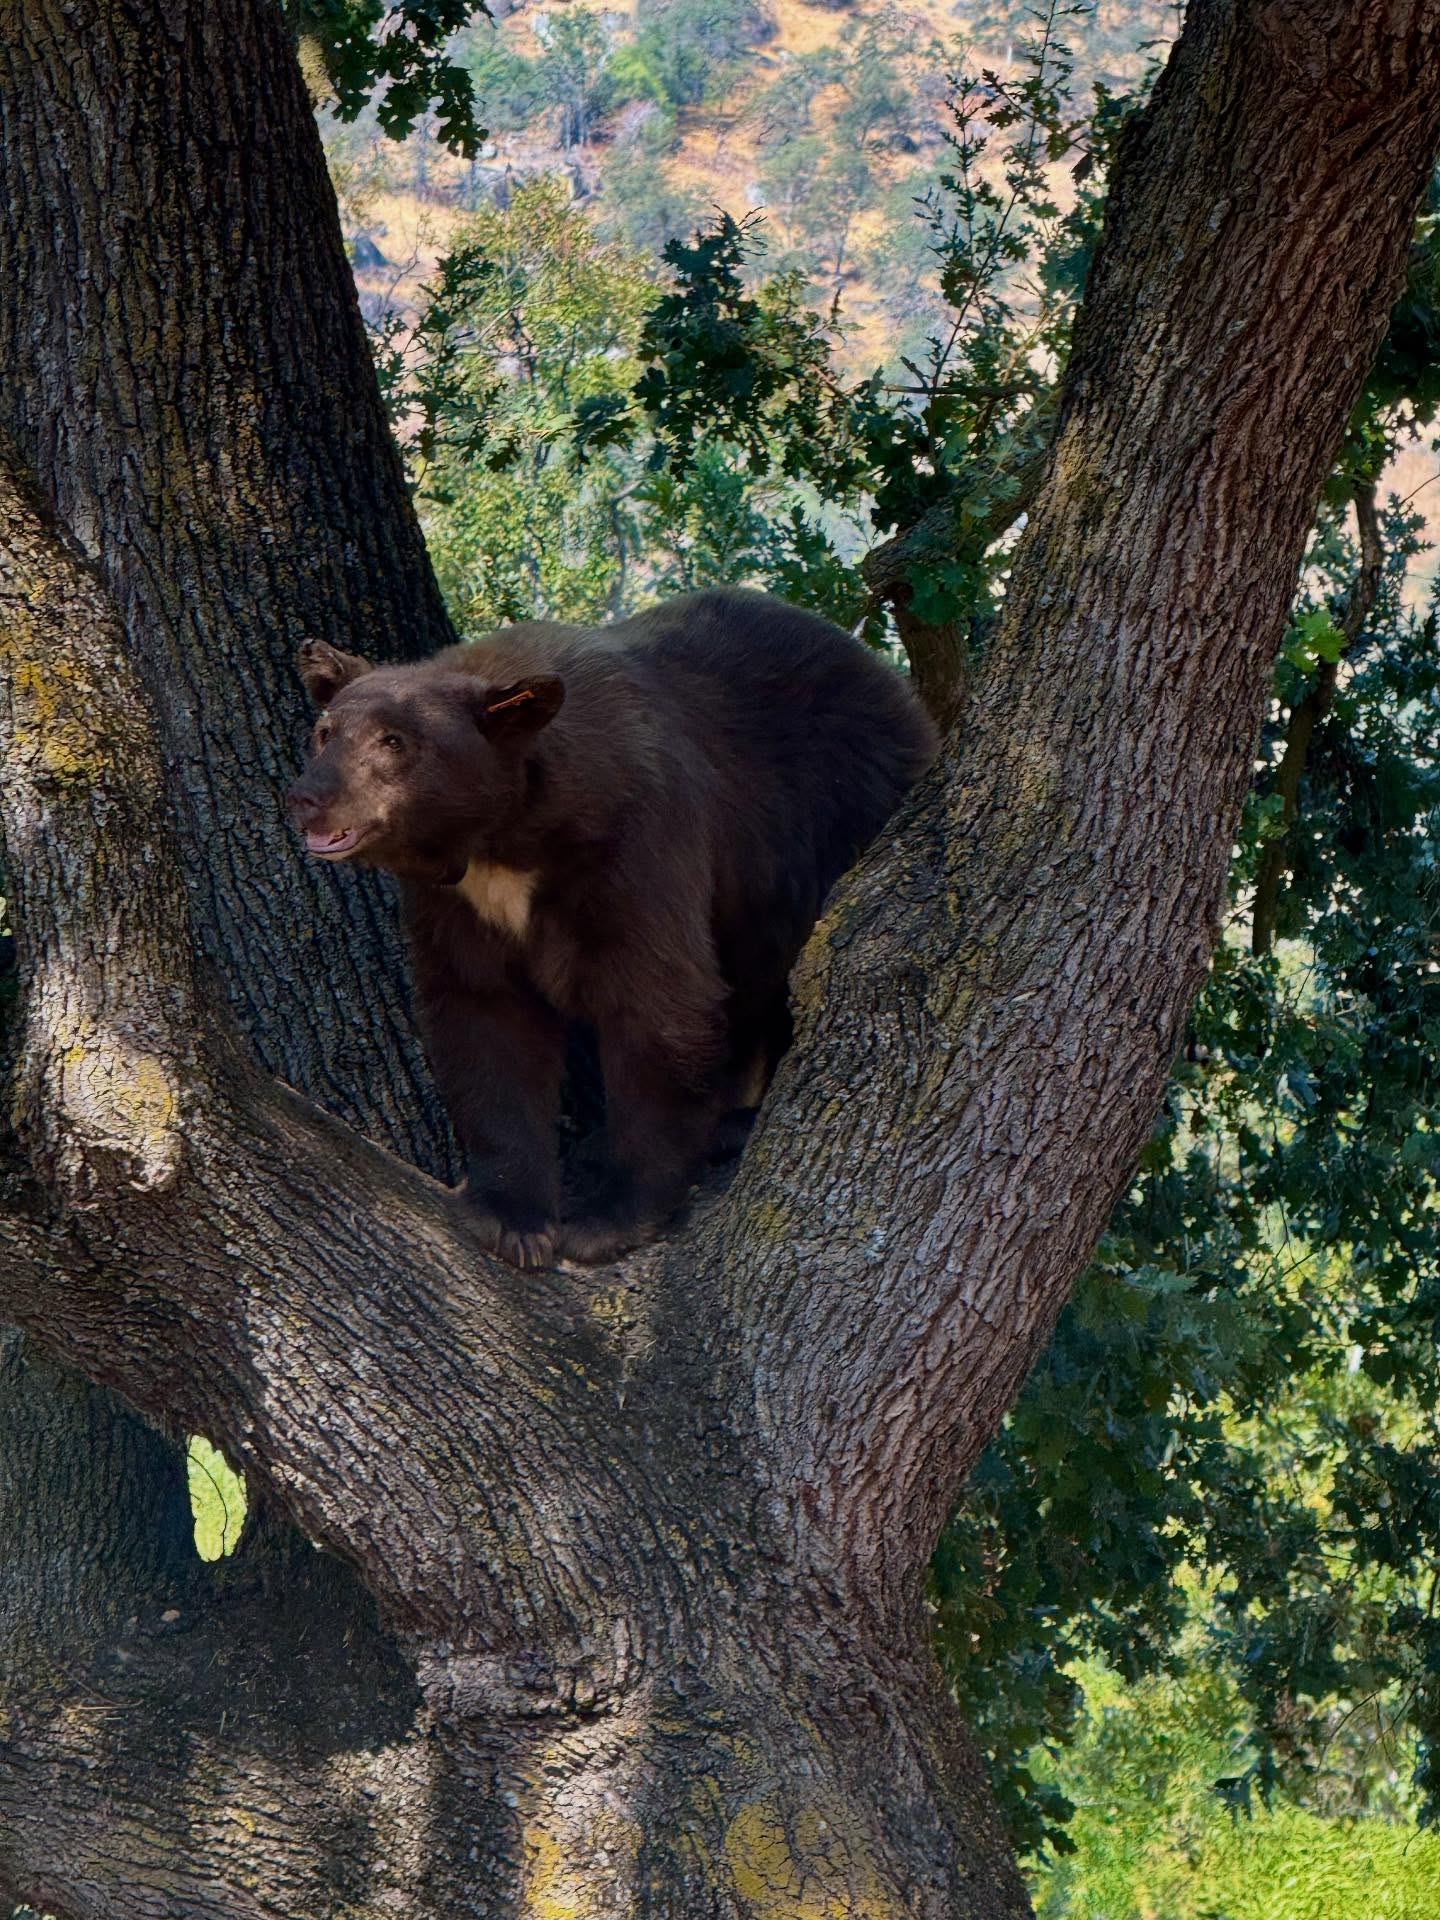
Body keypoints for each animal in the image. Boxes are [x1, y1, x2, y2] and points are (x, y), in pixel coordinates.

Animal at [288, 587, 937, 1267]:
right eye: (324, 733)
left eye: (394, 741)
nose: (308, 798)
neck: (511, 836)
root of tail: (897, 689)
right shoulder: (458, 904)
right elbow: (484, 1012)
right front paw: (510, 1215)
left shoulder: (635, 843)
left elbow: (659, 1004)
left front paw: (607, 1218)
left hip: (833, 822)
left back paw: (736, 1122)